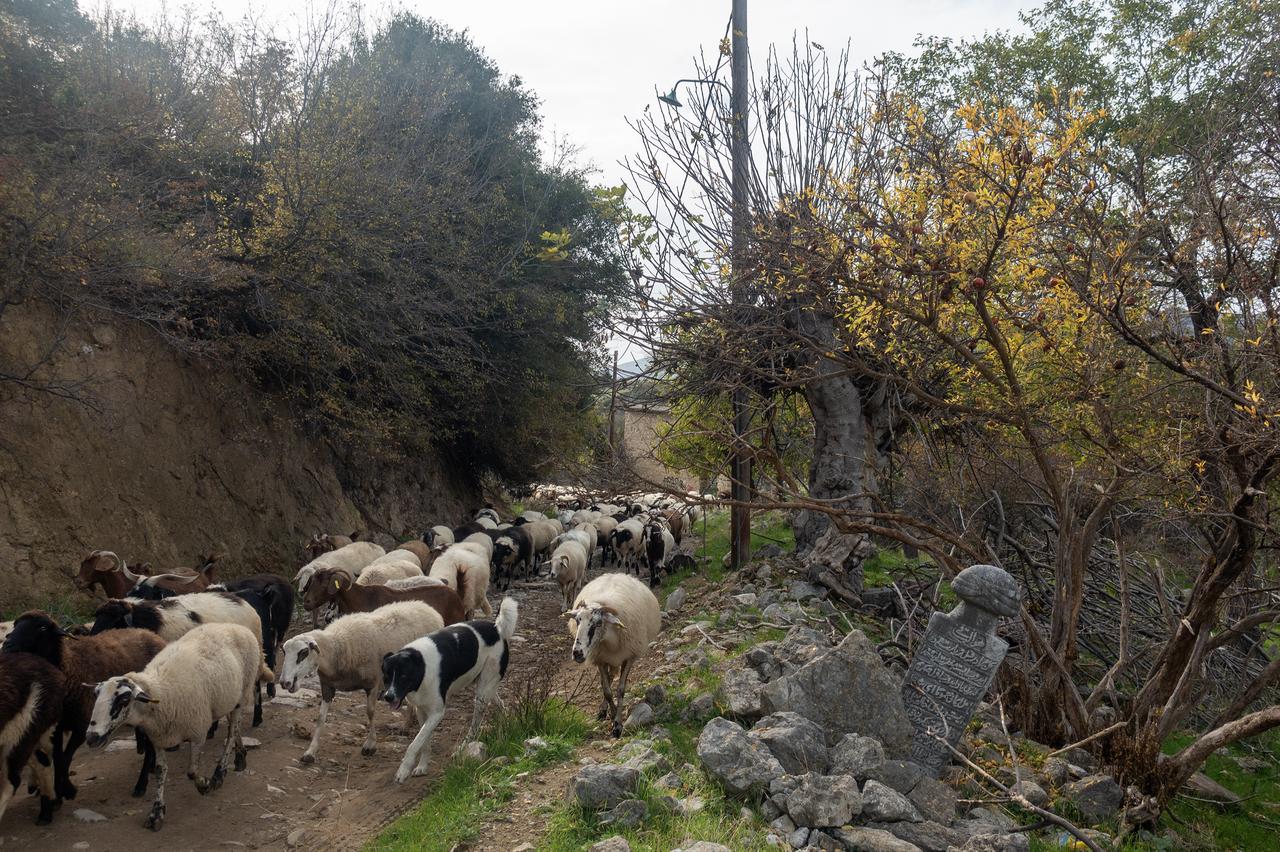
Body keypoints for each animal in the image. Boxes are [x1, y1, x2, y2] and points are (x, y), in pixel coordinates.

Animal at [84, 623, 272, 831]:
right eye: (96, 694)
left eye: (124, 699)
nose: (91, 737)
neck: (161, 693)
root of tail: (238, 627)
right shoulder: (158, 738)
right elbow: (160, 771)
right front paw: (156, 813)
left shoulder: (198, 731)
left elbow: (192, 771)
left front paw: (204, 784)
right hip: (226, 698)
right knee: (234, 726)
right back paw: (240, 757)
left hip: (242, 693)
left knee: (231, 733)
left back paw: (219, 773)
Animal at [89, 592, 268, 726]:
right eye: (97, 617)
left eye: (113, 619)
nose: (92, 638)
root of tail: (242, 601)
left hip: (255, 651)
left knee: (256, 683)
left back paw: (257, 717)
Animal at [279, 601, 445, 764]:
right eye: (284, 652)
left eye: (303, 653)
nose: (284, 683)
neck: (337, 648)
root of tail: (428, 608)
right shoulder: (327, 686)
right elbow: (320, 718)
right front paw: (310, 752)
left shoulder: (373, 684)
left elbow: (370, 712)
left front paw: (370, 745)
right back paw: (407, 724)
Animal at [381, 598, 518, 783]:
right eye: (386, 676)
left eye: (403, 676)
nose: (388, 697)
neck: (421, 667)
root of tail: (496, 628)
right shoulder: (421, 711)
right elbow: (424, 742)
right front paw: (422, 766)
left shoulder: (437, 713)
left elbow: (415, 743)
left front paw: (403, 770)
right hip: (485, 685)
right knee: (499, 702)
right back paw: (507, 722)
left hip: (482, 693)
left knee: (476, 723)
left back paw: (463, 747)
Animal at [564, 573, 662, 737]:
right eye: (577, 621)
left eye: (598, 623)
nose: (577, 653)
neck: (609, 640)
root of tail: (617, 574)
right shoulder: (600, 659)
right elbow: (607, 691)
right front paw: (613, 712)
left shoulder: (629, 657)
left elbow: (620, 690)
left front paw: (617, 725)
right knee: (607, 681)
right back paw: (604, 710)